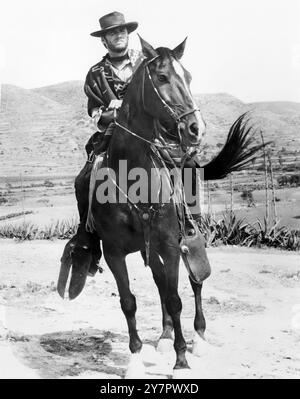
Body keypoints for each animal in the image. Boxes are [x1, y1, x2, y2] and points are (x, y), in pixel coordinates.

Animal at [58, 36, 264, 378]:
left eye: (189, 77)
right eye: (163, 77)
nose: (196, 128)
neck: (133, 178)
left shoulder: (169, 244)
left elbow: (176, 297)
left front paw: (181, 360)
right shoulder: (114, 252)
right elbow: (129, 302)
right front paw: (136, 361)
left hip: (186, 234)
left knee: (193, 283)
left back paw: (198, 338)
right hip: (147, 248)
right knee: (158, 283)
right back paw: (165, 336)